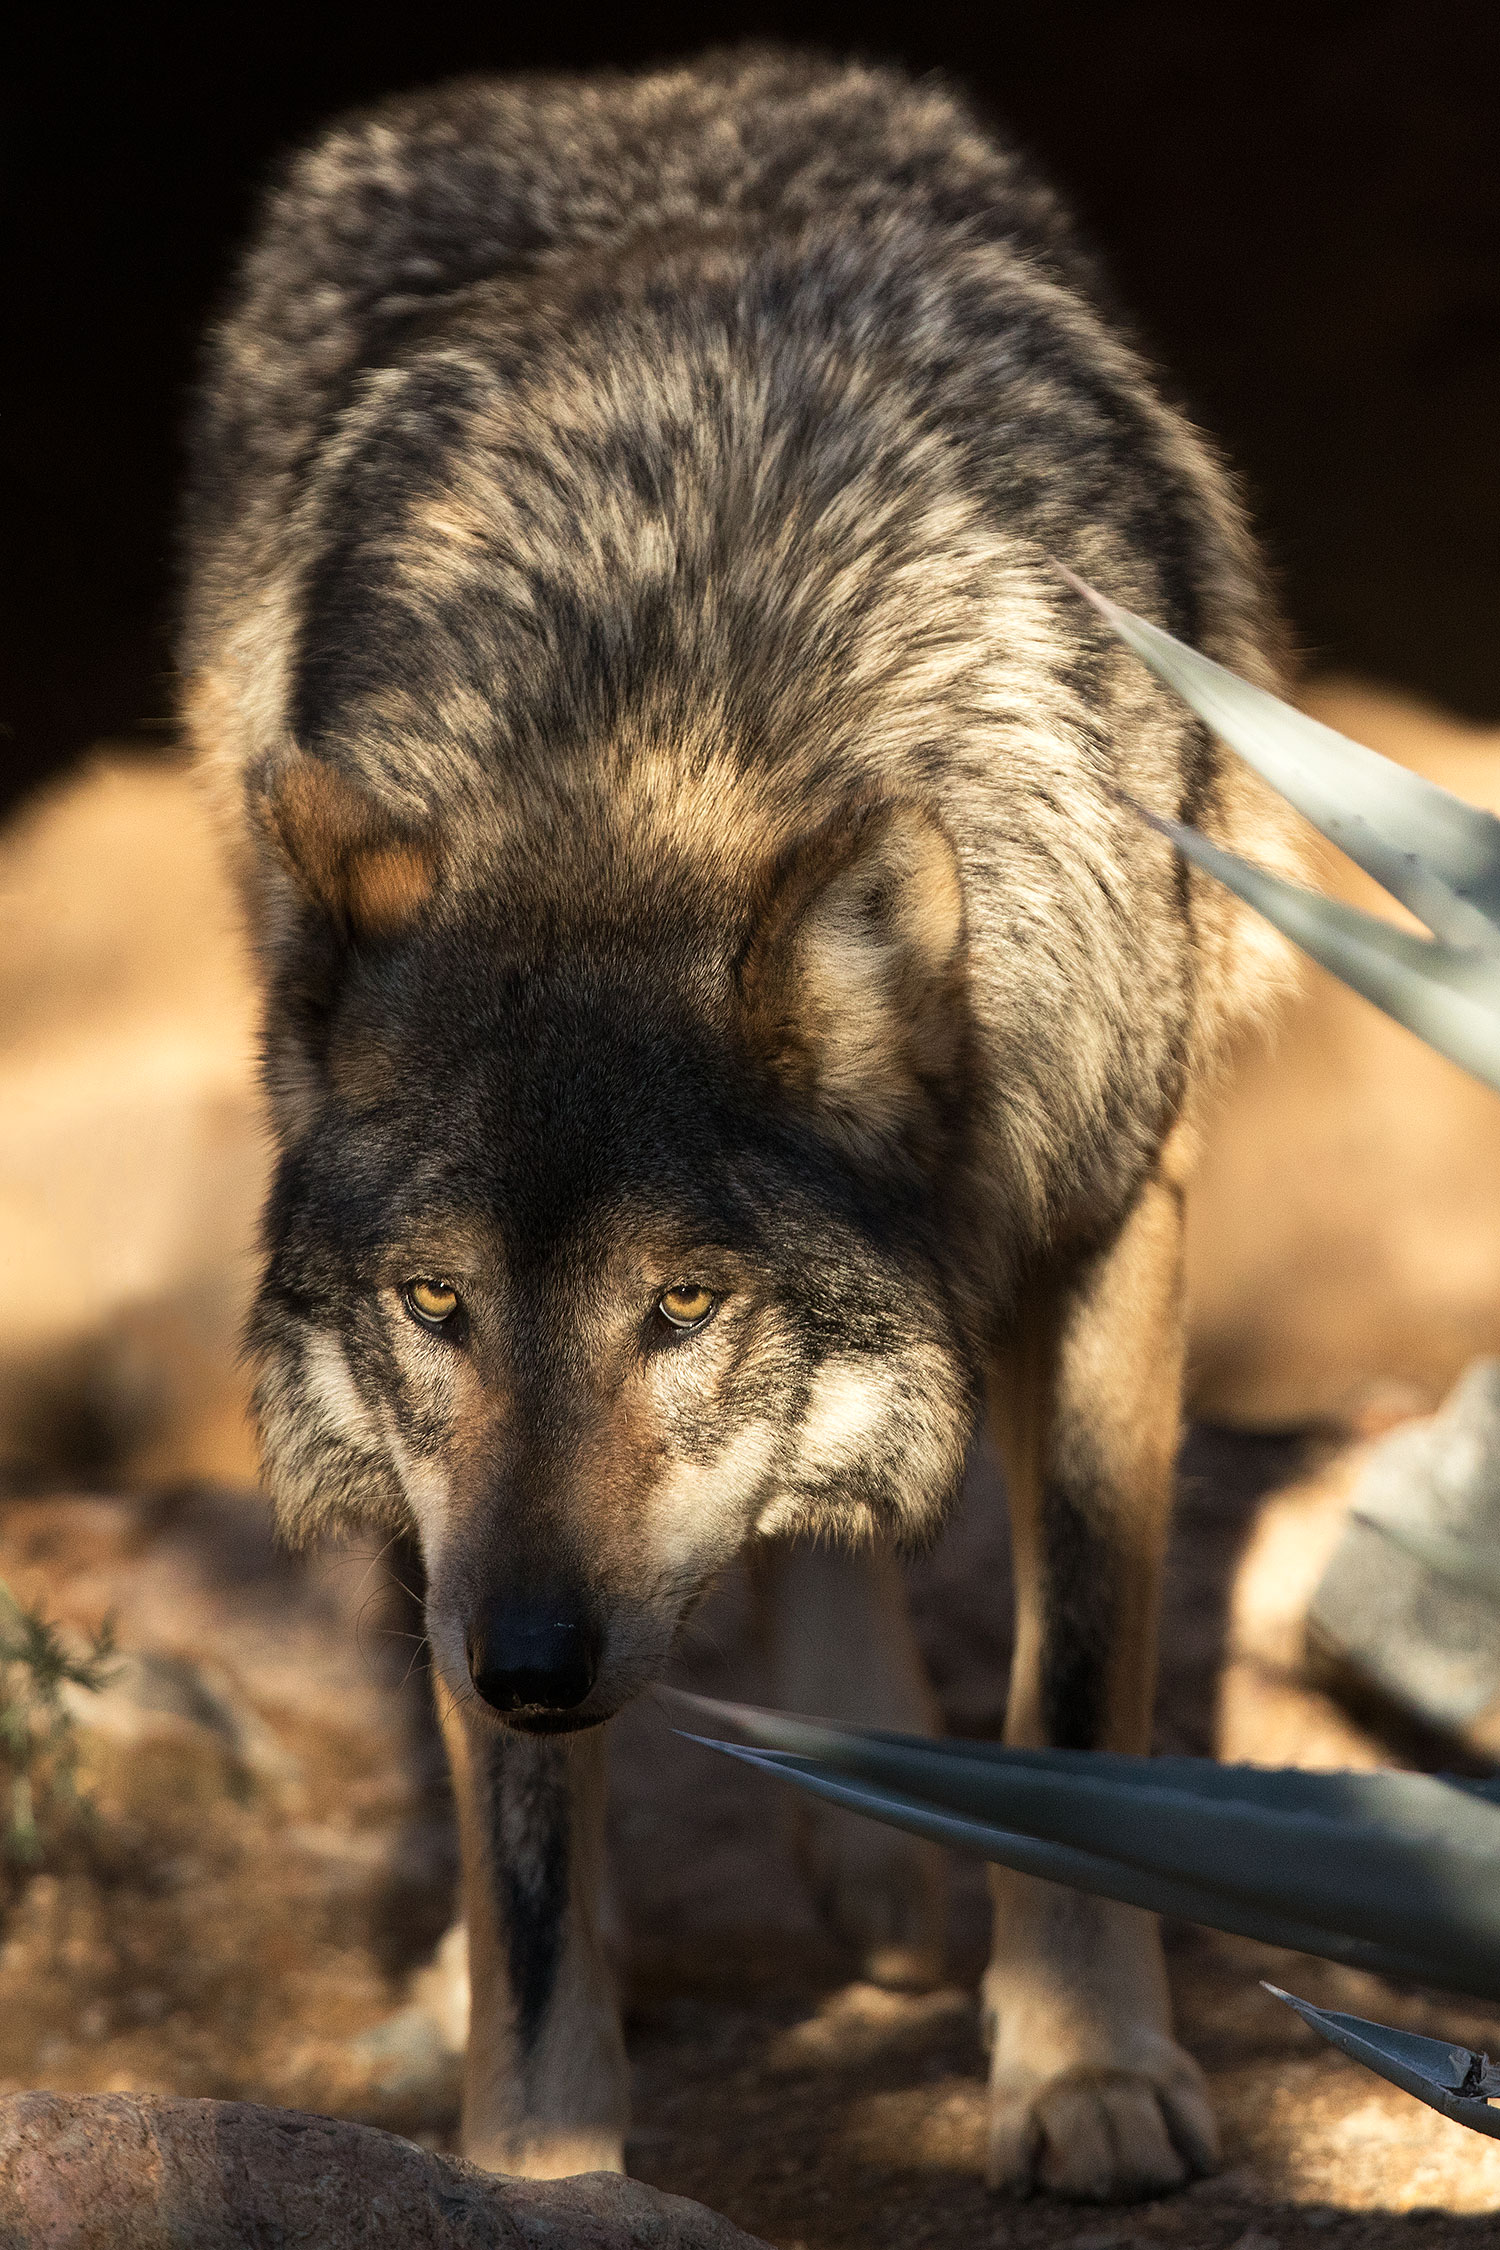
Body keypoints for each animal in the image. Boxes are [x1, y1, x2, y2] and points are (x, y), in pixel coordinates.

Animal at [181, 48, 1296, 2201]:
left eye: (684, 1306)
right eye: (434, 1306)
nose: (530, 1660)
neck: (666, 724)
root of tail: (623, 84)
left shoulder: (1115, 1215)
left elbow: (1076, 1681)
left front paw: (1085, 2070)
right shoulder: (476, 1550)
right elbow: (533, 1871)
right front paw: (534, 2172)